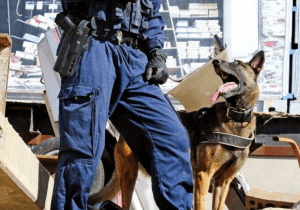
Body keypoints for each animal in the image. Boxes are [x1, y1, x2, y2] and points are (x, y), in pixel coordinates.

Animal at [89, 50, 264, 210]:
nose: (215, 62)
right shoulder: (203, 176)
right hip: (129, 175)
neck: (235, 116)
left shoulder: (223, 182)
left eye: (237, 63)